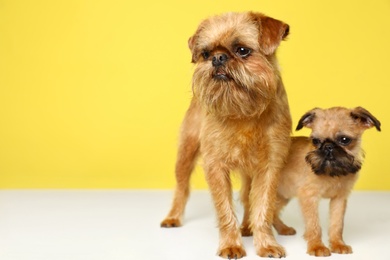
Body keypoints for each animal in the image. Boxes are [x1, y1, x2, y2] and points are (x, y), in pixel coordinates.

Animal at [160, 11, 290, 258]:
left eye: (242, 50)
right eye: (205, 54)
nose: (218, 58)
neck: (243, 112)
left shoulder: (270, 166)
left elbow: (263, 207)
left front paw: (266, 244)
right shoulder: (216, 166)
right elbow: (225, 210)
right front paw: (231, 245)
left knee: (248, 197)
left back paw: (249, 226)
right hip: (186, 152)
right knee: (182, 188)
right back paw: (173, 217)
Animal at [272, 106, 380, 256]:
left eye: (344, 140)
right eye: (315, 141)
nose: (328, 146)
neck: (332, 172)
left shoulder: (339, 199)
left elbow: (337, 224)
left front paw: (338, 244)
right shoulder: (309, 197)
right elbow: (314, 225)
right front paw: (317, 246)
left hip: (283, 195)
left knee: (272, 213)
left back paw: (282, 229)